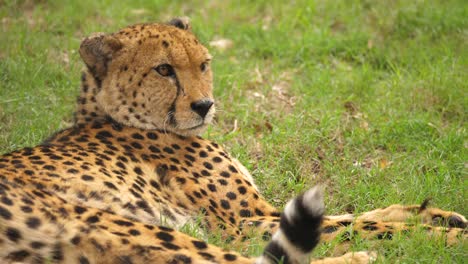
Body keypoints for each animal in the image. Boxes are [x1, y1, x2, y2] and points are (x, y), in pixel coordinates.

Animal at [0, 17, 466, 262]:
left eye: (203, 64)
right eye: (164, 69)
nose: (204, 105)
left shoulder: (265, 212)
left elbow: (357, 215)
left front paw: (439, 216)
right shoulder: (238, 223)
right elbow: (357, 225)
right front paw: (444, 238)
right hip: (120, 227)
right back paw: (360, 259)